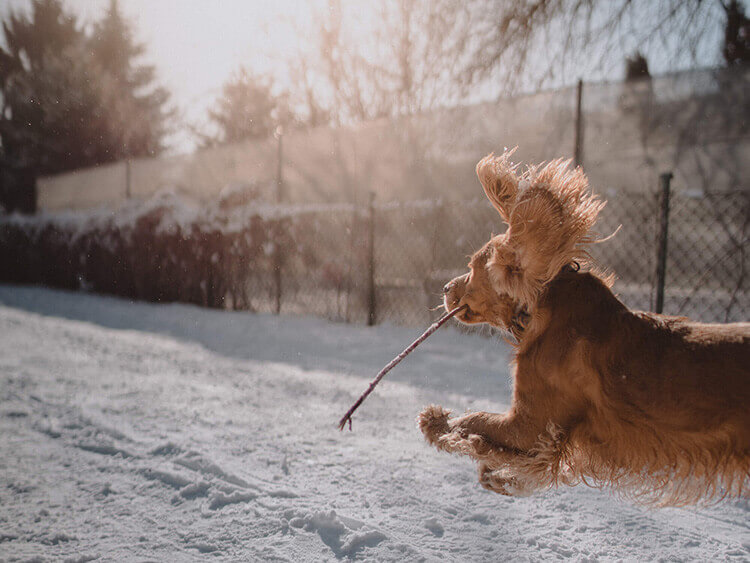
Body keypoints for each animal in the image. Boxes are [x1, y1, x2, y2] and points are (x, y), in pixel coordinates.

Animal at [420, 150, 750, 506]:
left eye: (472, 268)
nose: (445, 288)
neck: (542, 306)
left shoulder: (529, 425)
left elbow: (473, 420)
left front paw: (436, 423)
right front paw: (497, 474)